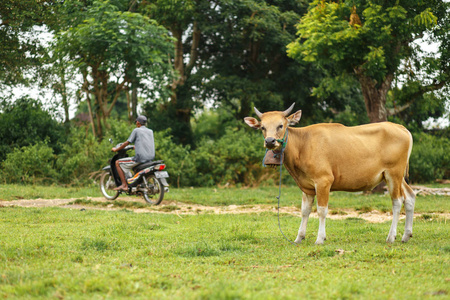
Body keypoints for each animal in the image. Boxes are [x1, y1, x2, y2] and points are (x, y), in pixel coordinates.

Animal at [244, 103, 416, 244]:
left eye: (281, 125)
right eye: (262, 127)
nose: (270, 141)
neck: (303, 144)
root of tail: (401, 128)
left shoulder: (323, 181)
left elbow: (321, 210)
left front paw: (320, 238)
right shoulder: (307, 187)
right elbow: (304, 211)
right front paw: (299, 237)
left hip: (393, 174)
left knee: (397, 201)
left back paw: (391, 236)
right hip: (397, 176)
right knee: (410, 197)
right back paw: (406, 235)